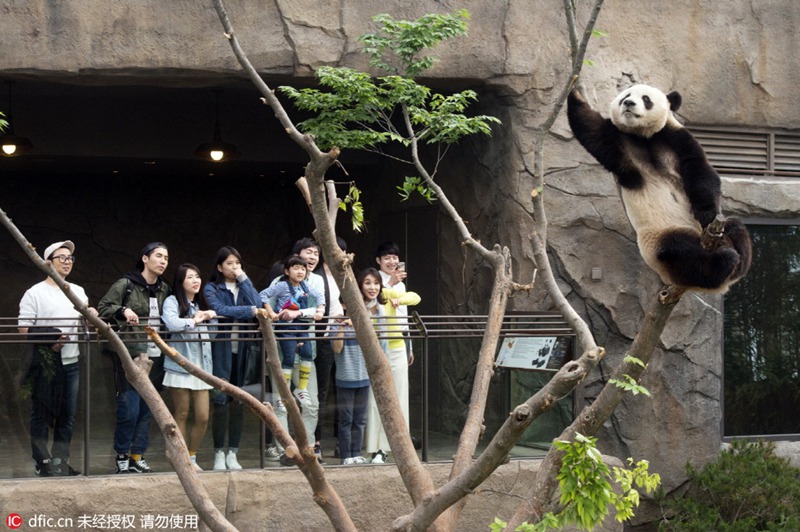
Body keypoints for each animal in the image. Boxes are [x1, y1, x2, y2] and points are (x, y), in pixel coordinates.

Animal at [568, 83, 752, 294]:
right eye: (625, 96)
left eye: (646, 99)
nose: (628, 103)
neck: (644, 135)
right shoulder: (621, 145)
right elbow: (594, 132)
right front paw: (574, 92)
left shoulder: (676, 138)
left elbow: (700, 170)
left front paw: (706, 212)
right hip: (656, 240)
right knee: (681, 253)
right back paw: (724, 261)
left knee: (734, 226)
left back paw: (736, 258)